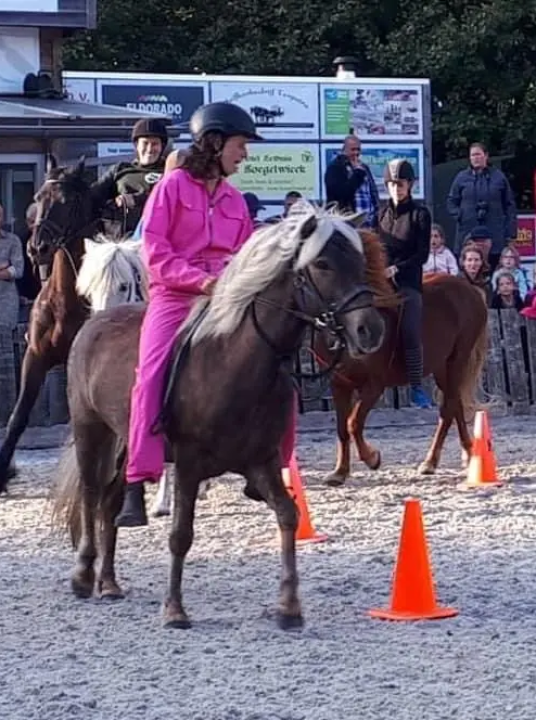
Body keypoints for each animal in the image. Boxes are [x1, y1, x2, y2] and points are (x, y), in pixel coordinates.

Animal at [0, 157, 99, 496]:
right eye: (38, 198)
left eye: (67, 202)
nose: (37, 248)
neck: (66, 301)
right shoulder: (35, 356)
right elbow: (17, 416)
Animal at [52, 204, 388, 632]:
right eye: (323, 263)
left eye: (360, 262)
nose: (369, 330)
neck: (234, 363)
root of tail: (96, 323)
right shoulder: (188, 464)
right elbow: (181, 534)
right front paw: (174, 609)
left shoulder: (262, 462)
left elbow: (288, 516)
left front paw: (288, 607)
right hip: (91, 430)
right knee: (93, 494)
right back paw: (82, 576)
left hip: (126, 442)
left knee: (110, 501)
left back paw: (109, 583)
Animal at [318, 231, 490, 486]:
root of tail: (469, 288)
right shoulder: (340, 383)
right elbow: (341, 428)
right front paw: (339, 472)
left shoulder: (374, 385)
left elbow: (353, 423)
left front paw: (372, 458)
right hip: (442, 367)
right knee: (455, 404)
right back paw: (468, 454)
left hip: (458, 359)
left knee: (448, 408)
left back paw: (431, 461)